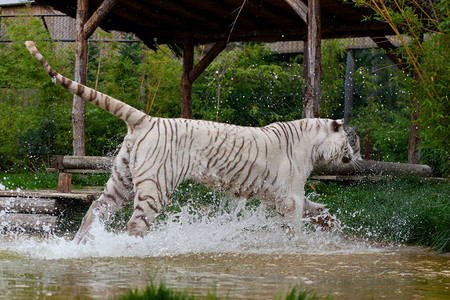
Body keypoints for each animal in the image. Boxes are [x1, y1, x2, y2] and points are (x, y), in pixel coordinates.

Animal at [24, 41, 356, 244]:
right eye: (349, 140)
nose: (353, 155)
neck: (312, 143)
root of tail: (146, 118)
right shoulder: (290, 196)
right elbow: (296, 224)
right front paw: (296, 245)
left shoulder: (280, 195)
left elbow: (318, 209)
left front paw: (331, 225)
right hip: (155, 185)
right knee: (135, 224)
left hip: (122, 178)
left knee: (97, 207)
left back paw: (79, 244)